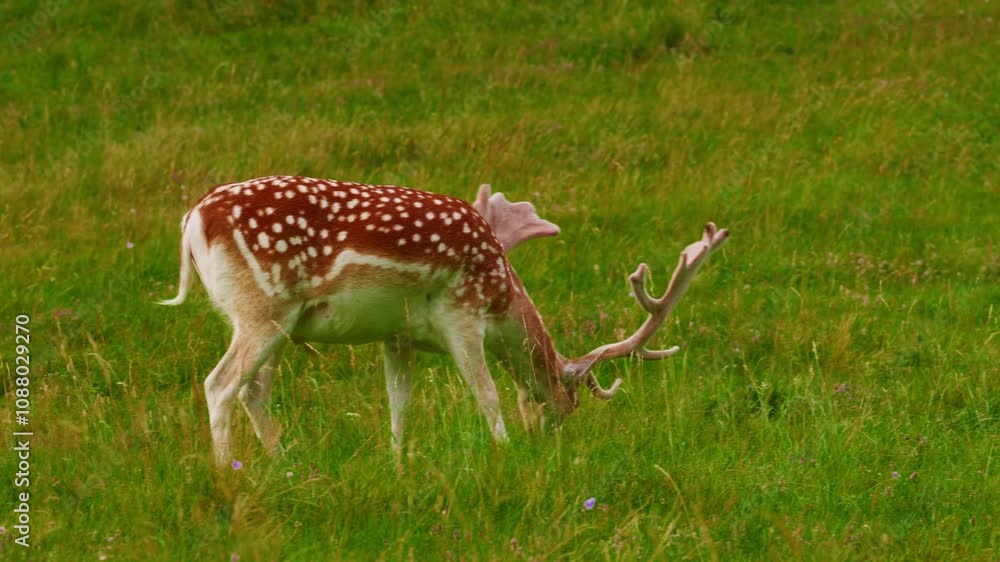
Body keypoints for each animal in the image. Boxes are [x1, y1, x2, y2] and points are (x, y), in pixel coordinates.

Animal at [160, 175, 729, 466]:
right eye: (566, 404)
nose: (546, 442)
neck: (501, 293)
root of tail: (192, 221)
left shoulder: (397, 335)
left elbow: (399, 402)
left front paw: (397, 464)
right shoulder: (462, 313)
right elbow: (486, 392)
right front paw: (504, 453)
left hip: (279, 320)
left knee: (254, 391)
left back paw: (284, 467)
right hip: (263, 305)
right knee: (220, 384)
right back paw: (229, 476)